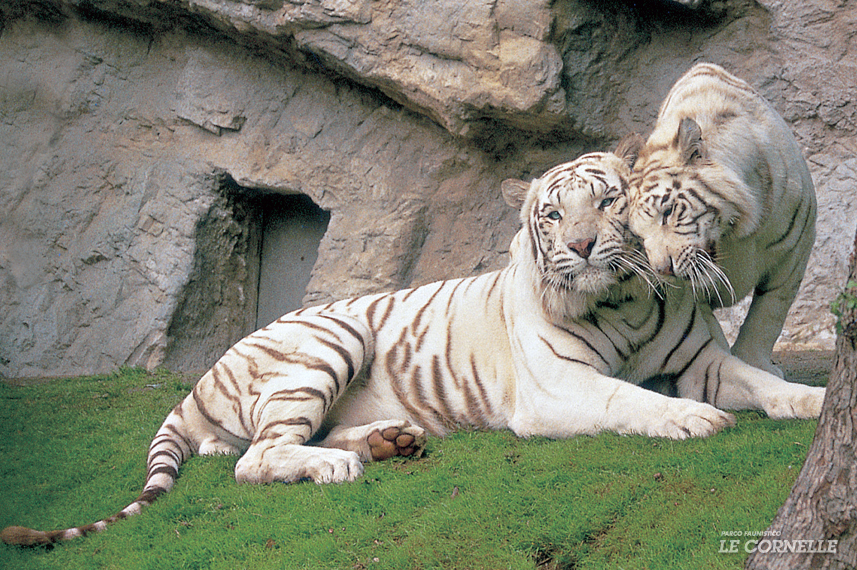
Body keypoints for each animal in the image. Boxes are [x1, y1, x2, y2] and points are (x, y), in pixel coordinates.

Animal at [1, 138, 824, 547]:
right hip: (325, 339)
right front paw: (689, 419)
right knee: (255, 458)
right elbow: (628, 398)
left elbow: (763, 382)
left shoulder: (700, 360)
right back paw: (338, 465)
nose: (584, 246)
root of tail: (204, 374)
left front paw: (817, 401)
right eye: (553, 215)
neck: (618, 300)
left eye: (609, 200)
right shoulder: (559, 389)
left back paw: (389, 442)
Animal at [627, 62, 817, 378]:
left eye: (667, 212)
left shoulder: (795, 247)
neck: (736, 234)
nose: (663, 270)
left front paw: (755, 362)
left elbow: (769, 312)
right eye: (639, 237)